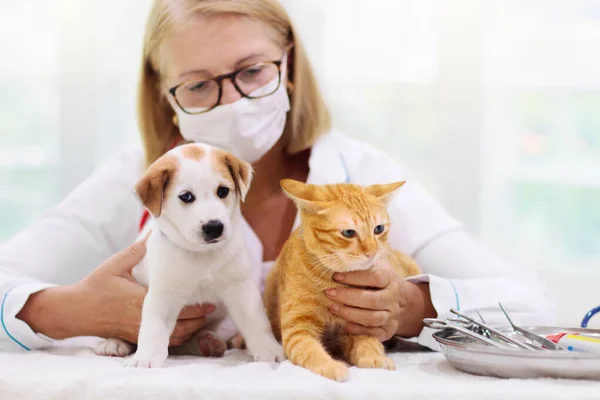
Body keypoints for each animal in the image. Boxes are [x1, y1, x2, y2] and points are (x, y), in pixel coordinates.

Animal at [95, 142, 284, 368]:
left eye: (223, 191)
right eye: (186, 196)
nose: (214, 227)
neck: (201, 255)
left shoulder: (240, 288)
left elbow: (257, 322)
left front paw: (269, 350)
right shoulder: (163, 294)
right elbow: (153, 329)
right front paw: (145, 358)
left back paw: (207, 342)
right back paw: (114, 343)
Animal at [262, 179, 422, 382]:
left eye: (378, 229)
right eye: (348, 233)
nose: (372, 252)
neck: (332, 280)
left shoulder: (362, 325)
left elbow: (369, 343)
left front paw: (375, 357)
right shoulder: (297, 329)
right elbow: (309, 351)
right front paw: (330, 366)